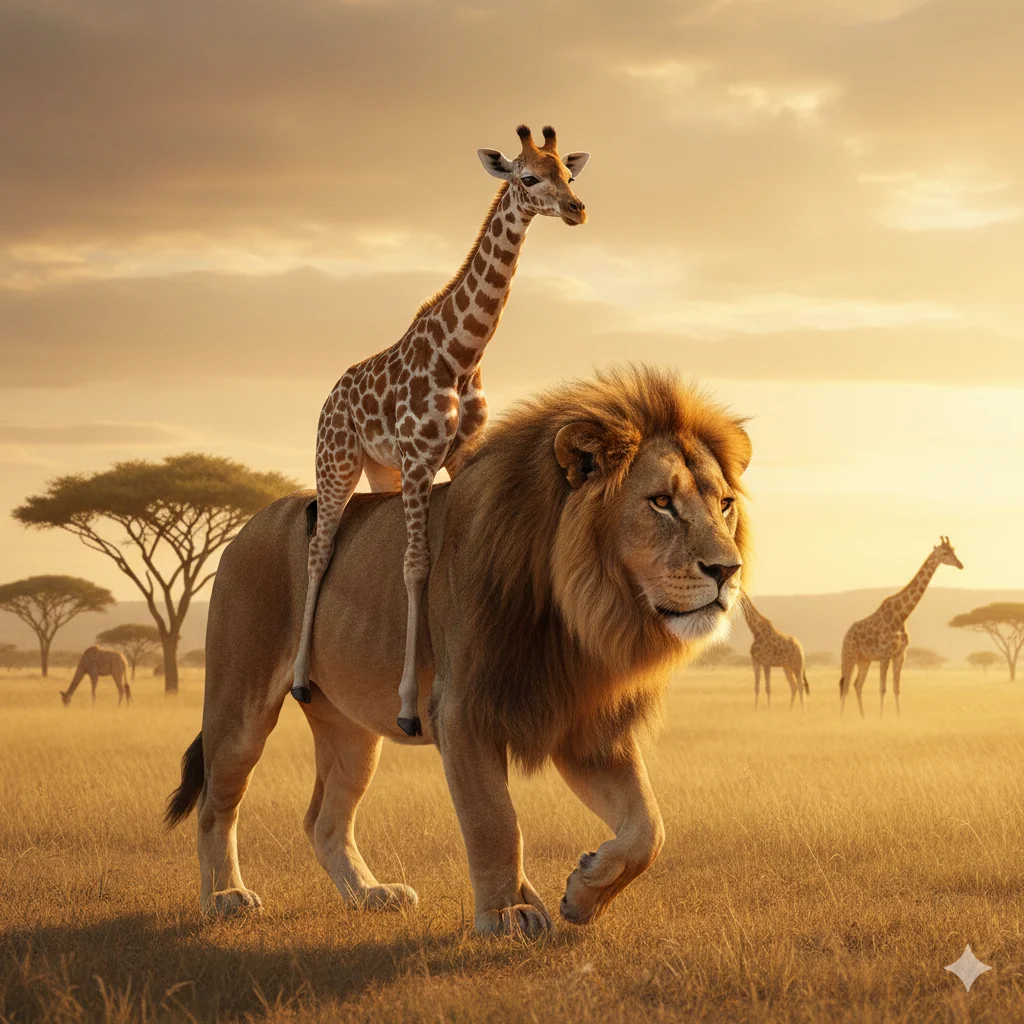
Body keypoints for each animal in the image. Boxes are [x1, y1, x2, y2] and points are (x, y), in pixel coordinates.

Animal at [166, 365, 752, 935]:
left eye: (724, 504)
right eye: (661, 502)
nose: (728, 571)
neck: (579, 614)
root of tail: (249, 523)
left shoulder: (585, 724)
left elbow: (649, 828)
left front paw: (584, 893)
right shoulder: (463, 709)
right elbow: (494, 819)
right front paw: (508, 912)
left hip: (351, 731)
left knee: (323, 819)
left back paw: (369, 895)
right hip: (239, 705)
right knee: (216, 804)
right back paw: (225, 897)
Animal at [291, 124, 590, 736]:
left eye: (569, 174)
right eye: (529, 177)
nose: (578, 209)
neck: (462, 354)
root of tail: (330, 396)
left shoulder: (458, 454)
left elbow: (444, 559)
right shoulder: (419, 460)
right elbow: (414, 567)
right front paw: (408, 706)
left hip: (380, 470)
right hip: (336, 461)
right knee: (319, 548)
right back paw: (302, 680)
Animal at [839, 536, 963, 718]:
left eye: (954, 550)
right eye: (944, 553)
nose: (961, 565)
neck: (902, 615)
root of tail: (845, 635)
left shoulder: (900, 655)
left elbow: (897, 689)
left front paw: (898, 717)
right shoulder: (885, 654)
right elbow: (883, 688)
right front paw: (881, 718)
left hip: (864, 659)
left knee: (857, 684)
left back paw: (863, 717)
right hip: (849, 656)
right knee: (845, 685)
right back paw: (841, 717)